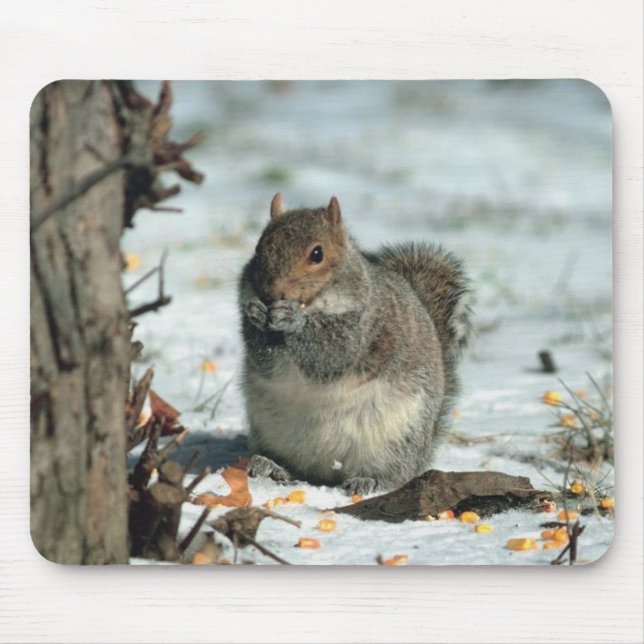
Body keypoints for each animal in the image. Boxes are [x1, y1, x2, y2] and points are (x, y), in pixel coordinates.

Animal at [239, 193, 473, 495]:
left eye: (317, 254)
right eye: (258, 247)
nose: (270, 293)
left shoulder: (367, 328)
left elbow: (332, 352)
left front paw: (293, 320)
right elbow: (262, 357)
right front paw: (255, 314)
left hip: (397, 438)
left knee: (396, 473)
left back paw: (369, 480)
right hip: (269, 429)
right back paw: (270, 465)